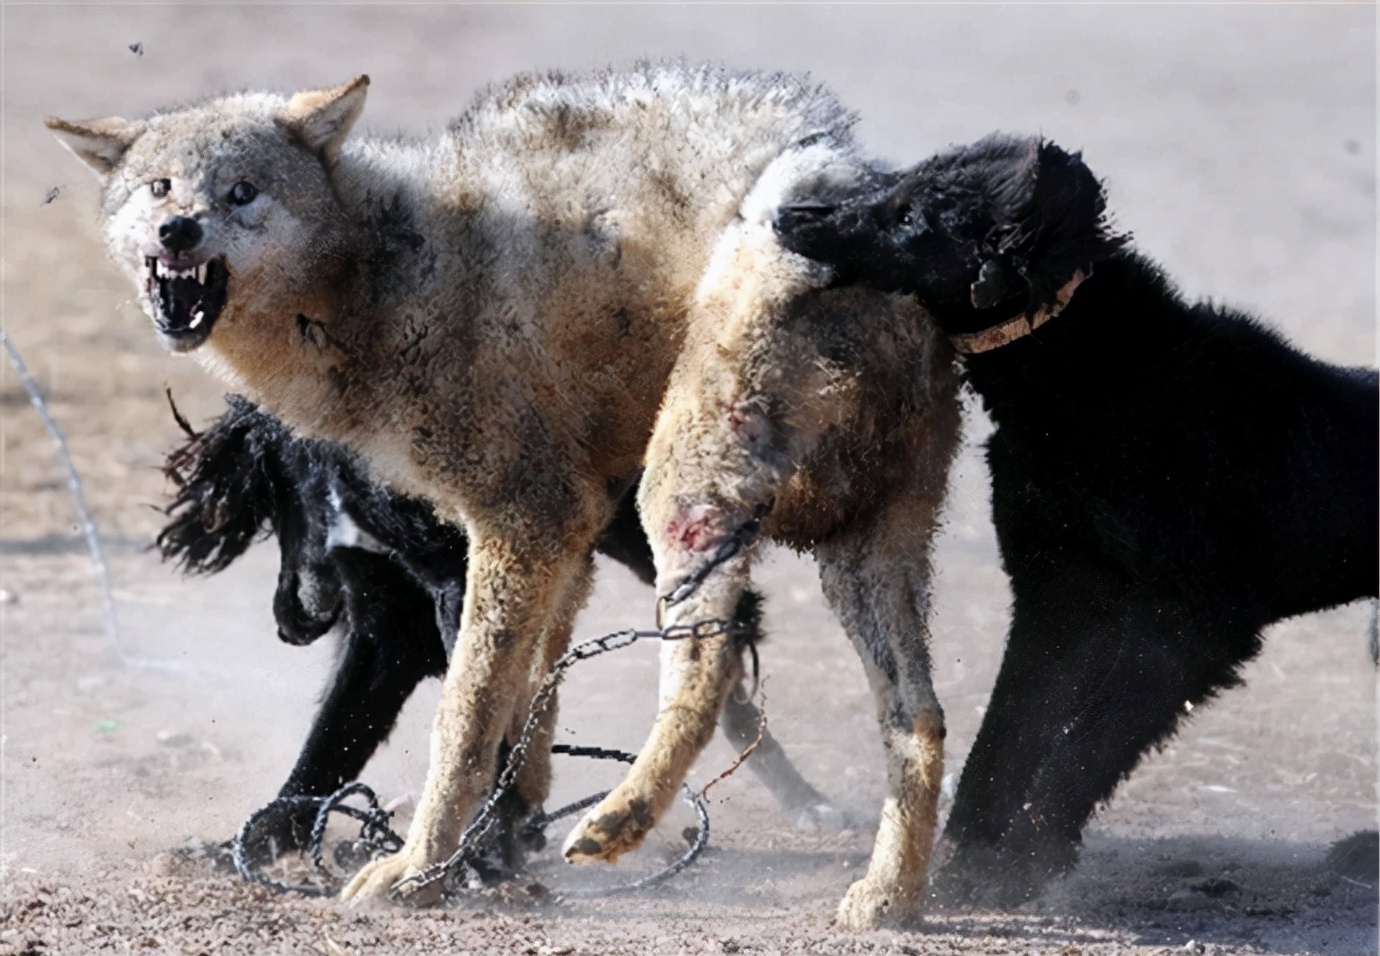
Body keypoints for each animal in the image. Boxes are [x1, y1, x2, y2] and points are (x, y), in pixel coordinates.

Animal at [156, 391, 833, 866]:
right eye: (273, 490)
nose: (291, 621)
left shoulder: (465, 582)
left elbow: (470, 719)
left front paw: (483, 848)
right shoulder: (389, 627)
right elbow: (334, 741)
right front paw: (256, 841)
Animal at [778, 134, 1380, 904]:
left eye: (910, 216)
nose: (788, 214)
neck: (1090, 375)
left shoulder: (1194, 623)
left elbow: (1086, 747)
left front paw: (1020, 866)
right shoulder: (1059, 591)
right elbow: (1010, 731)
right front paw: (970, 863)